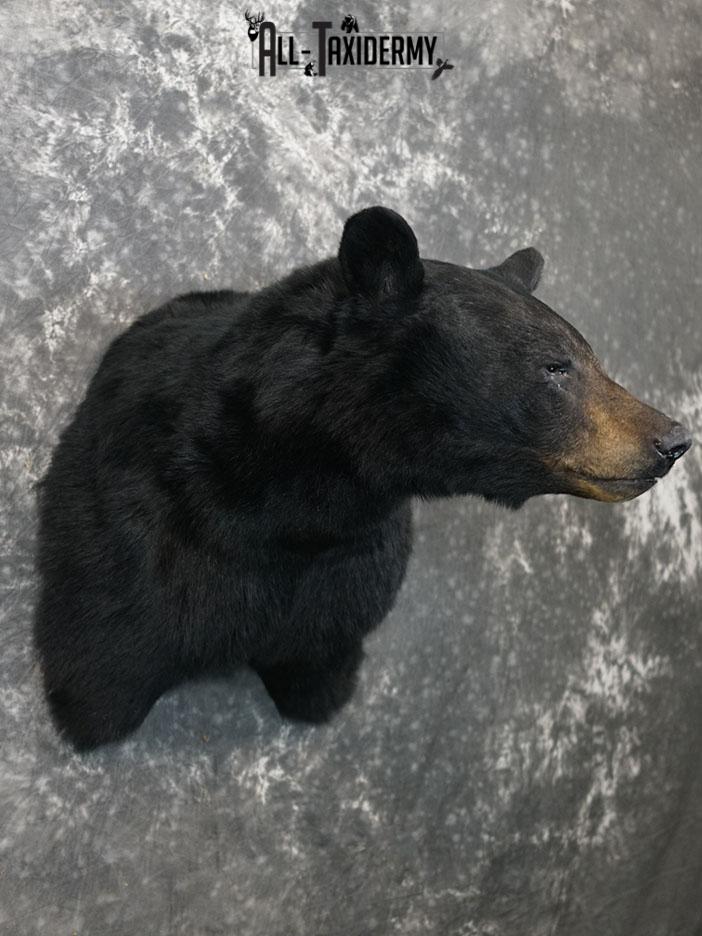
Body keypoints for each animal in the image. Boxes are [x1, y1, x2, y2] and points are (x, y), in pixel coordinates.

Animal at [34, 206, 692, 750]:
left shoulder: (349, 577)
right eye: (556, 366)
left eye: (591, 358)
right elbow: (108, 655)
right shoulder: (142, 538)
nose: (673, 440)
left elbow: (322, 654)